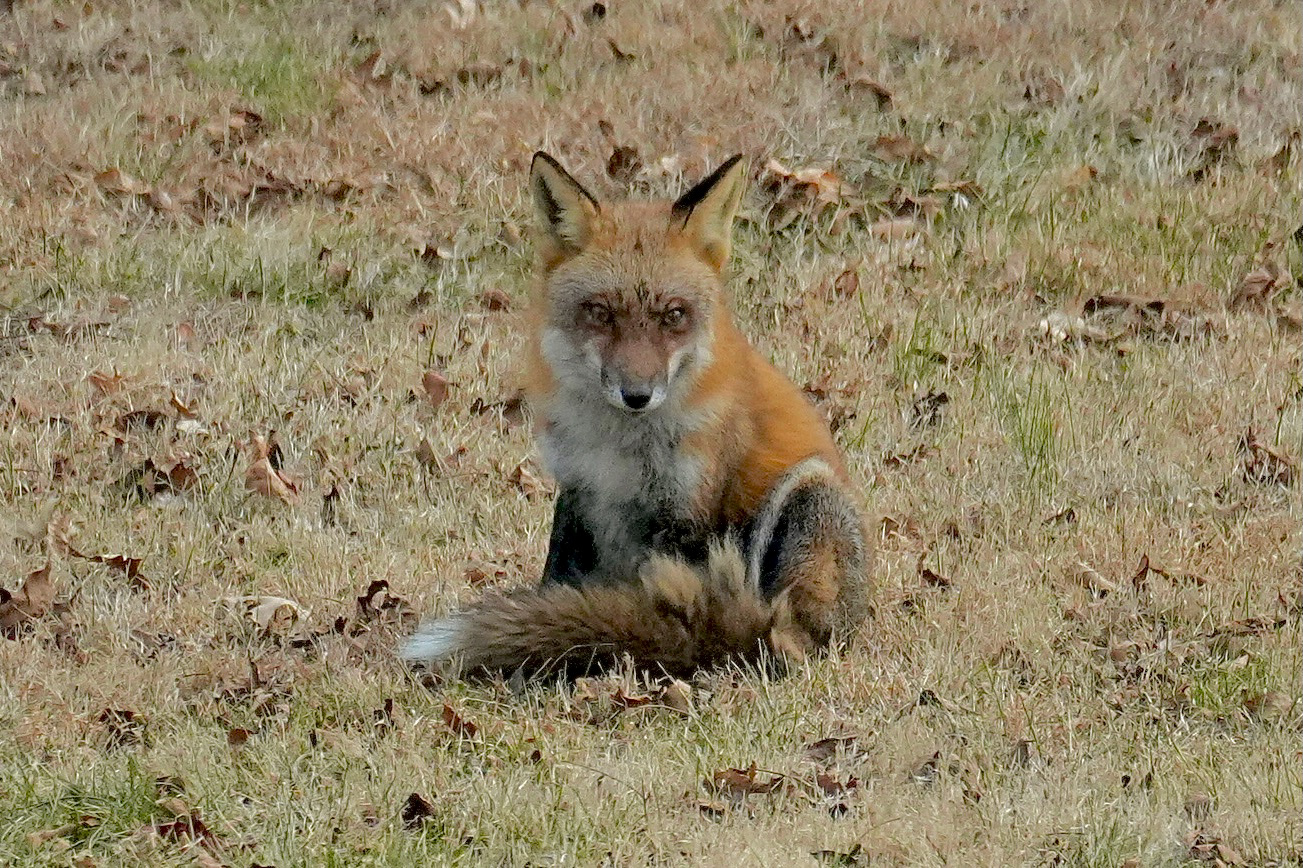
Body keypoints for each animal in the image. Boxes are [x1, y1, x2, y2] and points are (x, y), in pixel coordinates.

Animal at [401, 152, 870, 678]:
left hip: (808, 492)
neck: (618, 443)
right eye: (601, 312)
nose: (637, 395)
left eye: (674, 315)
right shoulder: (579, 488)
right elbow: (556, 583)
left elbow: (655, 610)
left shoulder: (685, 513)